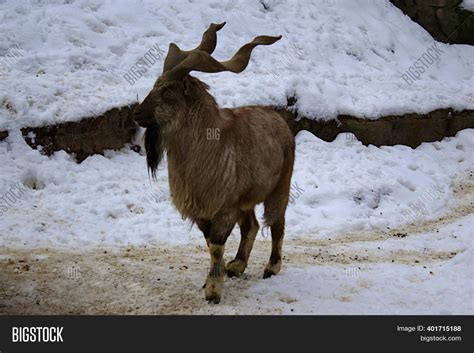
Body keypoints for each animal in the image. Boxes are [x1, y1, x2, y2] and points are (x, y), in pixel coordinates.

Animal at [133, 22, 294, 302]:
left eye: (167, 92)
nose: (136, 113)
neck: (206, 147)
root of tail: (280, 121)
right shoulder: (205, 212)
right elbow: (210, 244)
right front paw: (215, 279)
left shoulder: (224, 208)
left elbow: (217, 245)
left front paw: (213, 291)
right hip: (246, 200)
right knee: (251, 225)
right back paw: (238, 265)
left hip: (280, 186)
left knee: (277, 224)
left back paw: (271, 267)